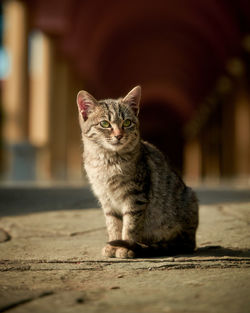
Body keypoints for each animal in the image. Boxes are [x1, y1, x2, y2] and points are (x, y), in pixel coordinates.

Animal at [77, 85, 198, 258]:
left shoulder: (136, 196)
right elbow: (113, 225)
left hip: (189, 199)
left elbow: (130, 226)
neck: (107, 161)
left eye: (127, 122)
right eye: (105, 123)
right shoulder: (106, 200)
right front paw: (112, 246)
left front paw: (126, 248)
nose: (119, 135)